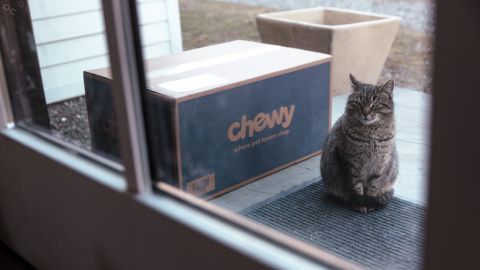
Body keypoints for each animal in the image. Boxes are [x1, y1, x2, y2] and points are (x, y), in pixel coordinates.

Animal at [322, 74, 398, 213]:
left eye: (376, 104)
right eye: (358, 103)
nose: (366, 113)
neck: (371, 135)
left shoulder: (380, 164)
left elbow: (373, 186)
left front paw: (370, 202)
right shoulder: (351, 163)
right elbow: (356, 188)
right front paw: (360, 203)